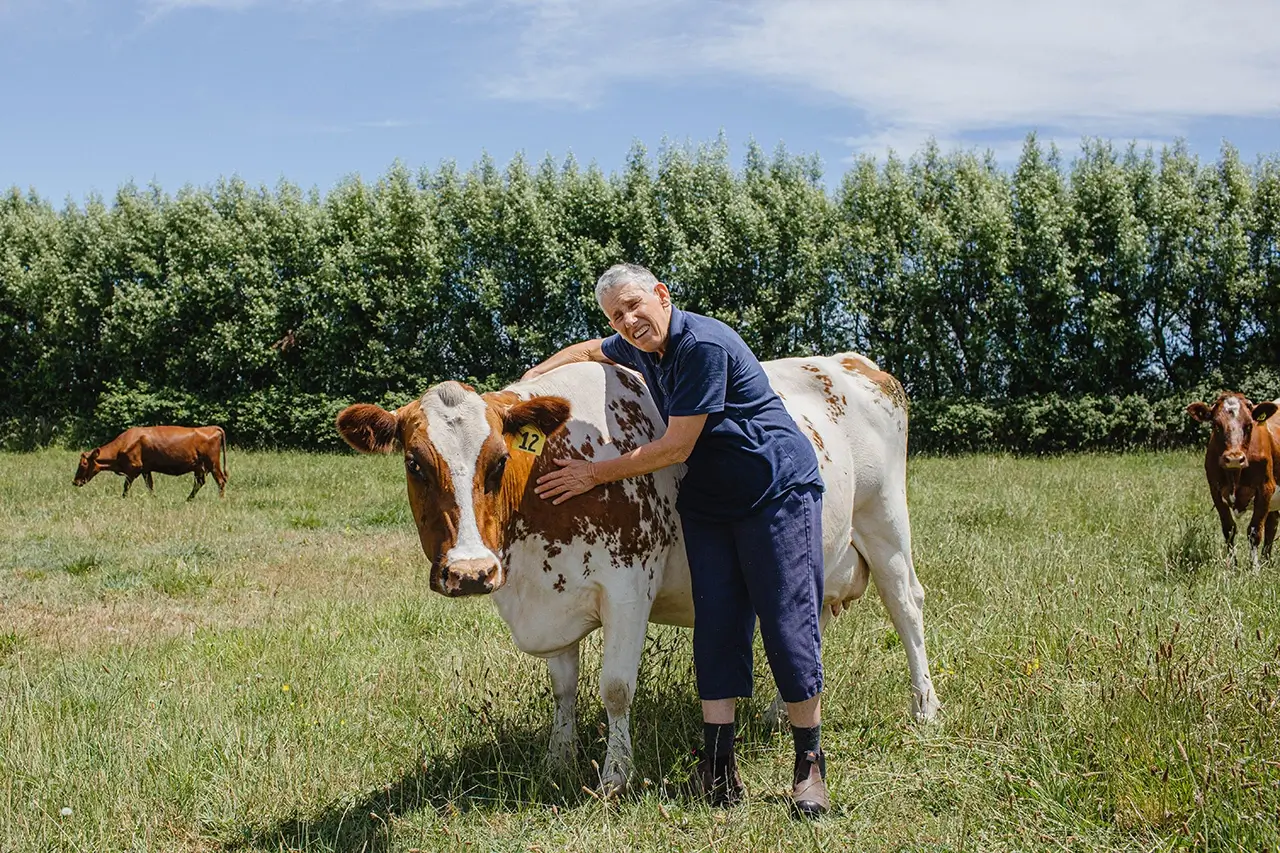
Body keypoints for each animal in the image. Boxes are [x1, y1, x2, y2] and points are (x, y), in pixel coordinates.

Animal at [72, 425, 229, 499]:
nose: (75, 482)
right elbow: (150, 486)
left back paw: (220, 499)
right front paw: (154, 498)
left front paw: (123, 498)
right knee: (199, 483)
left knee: (220, 481)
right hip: (199, 467)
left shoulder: (133, 468)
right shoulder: (146, 470)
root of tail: (211, 427)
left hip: (213, 464)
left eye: (84, 464)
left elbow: (126, 486)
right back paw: (188, 499)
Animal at [337, 353, 942, 788]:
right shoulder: (552, 594)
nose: (469, 572)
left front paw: (615, 776)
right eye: (415, 463)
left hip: (886, 525)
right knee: (803, 621)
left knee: (906, 608)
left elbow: (615, 688)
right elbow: (564, 688)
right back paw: (776, 713)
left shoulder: (628, 588)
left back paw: (926, 709)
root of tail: (853, 361)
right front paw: (558, 759)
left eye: (499, 461)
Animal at [1182, 389, 1274, 560]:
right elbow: (1229, 529)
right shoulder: (1215, 490)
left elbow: (1254, 532)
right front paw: (1232, 564)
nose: (1234, 458)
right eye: (1215, 425)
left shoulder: (1266, 489)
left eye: (1249, 425)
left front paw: (1254, 566)